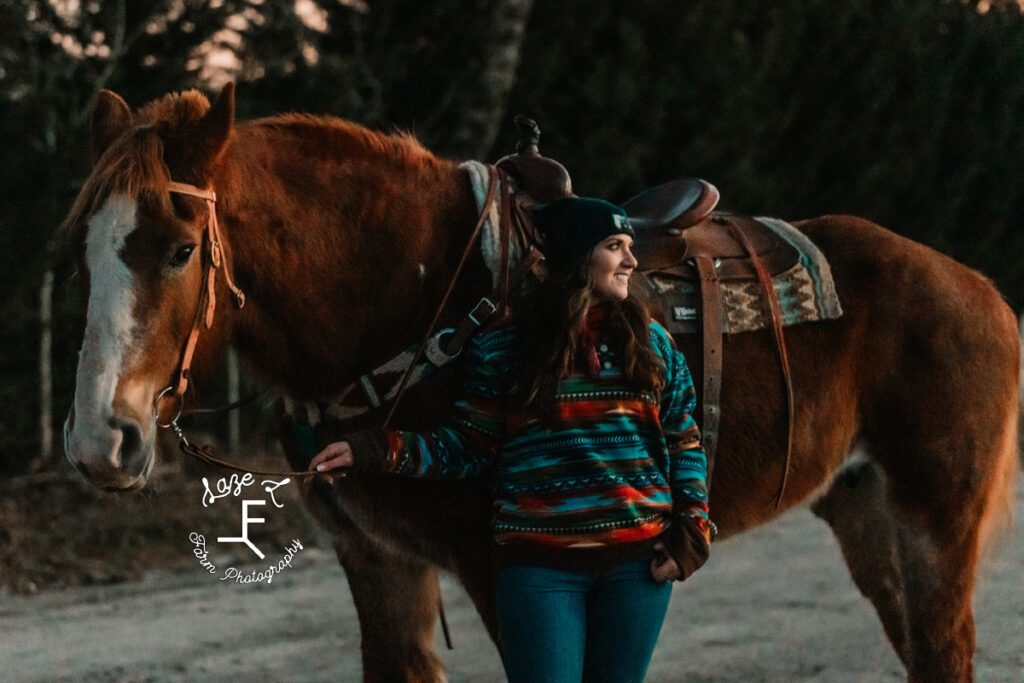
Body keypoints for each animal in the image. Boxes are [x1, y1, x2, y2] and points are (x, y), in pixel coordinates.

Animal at [64, 87, 1015, 683]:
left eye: (181, 248)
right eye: (85, 249)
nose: (100, 440)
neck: (411, 302)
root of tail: (980, 290)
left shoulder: (501, 567)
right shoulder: (380, 563)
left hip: (935, 521)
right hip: (863, 511)